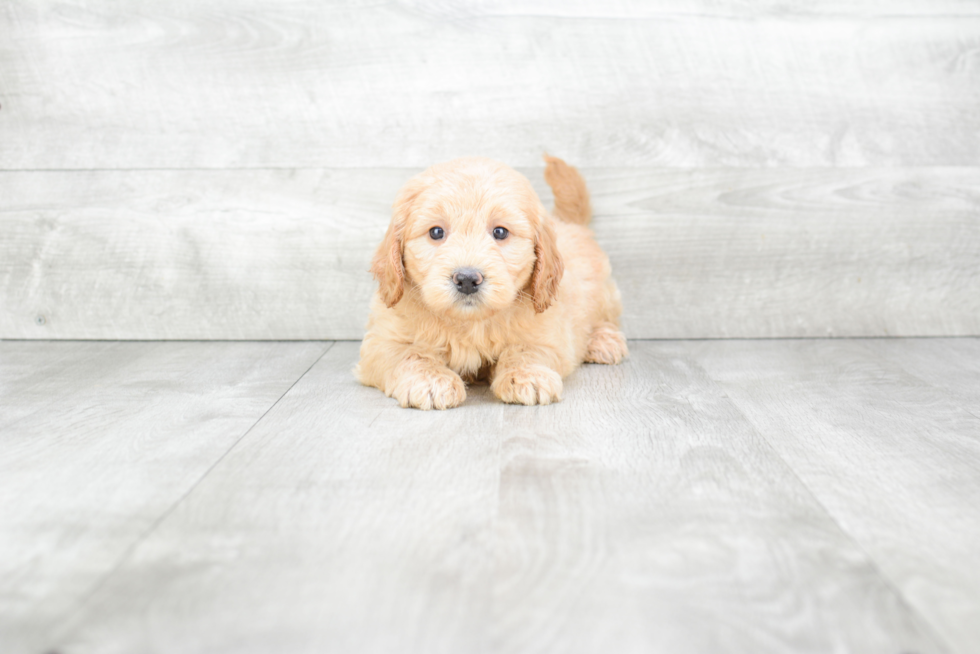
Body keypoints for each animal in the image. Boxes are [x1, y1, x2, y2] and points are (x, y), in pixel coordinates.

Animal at [358, 155, 628, 410]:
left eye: (500, 232)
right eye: (436, 232)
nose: (467, 279)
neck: (470, 323)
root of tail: (570, 224)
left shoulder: (548, 333)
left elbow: (526, 350)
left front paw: (527, 375)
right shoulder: (380, 342)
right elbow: (410, 353)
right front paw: (431, 381)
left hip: (604, 295)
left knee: (605, 318)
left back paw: (603, 341)